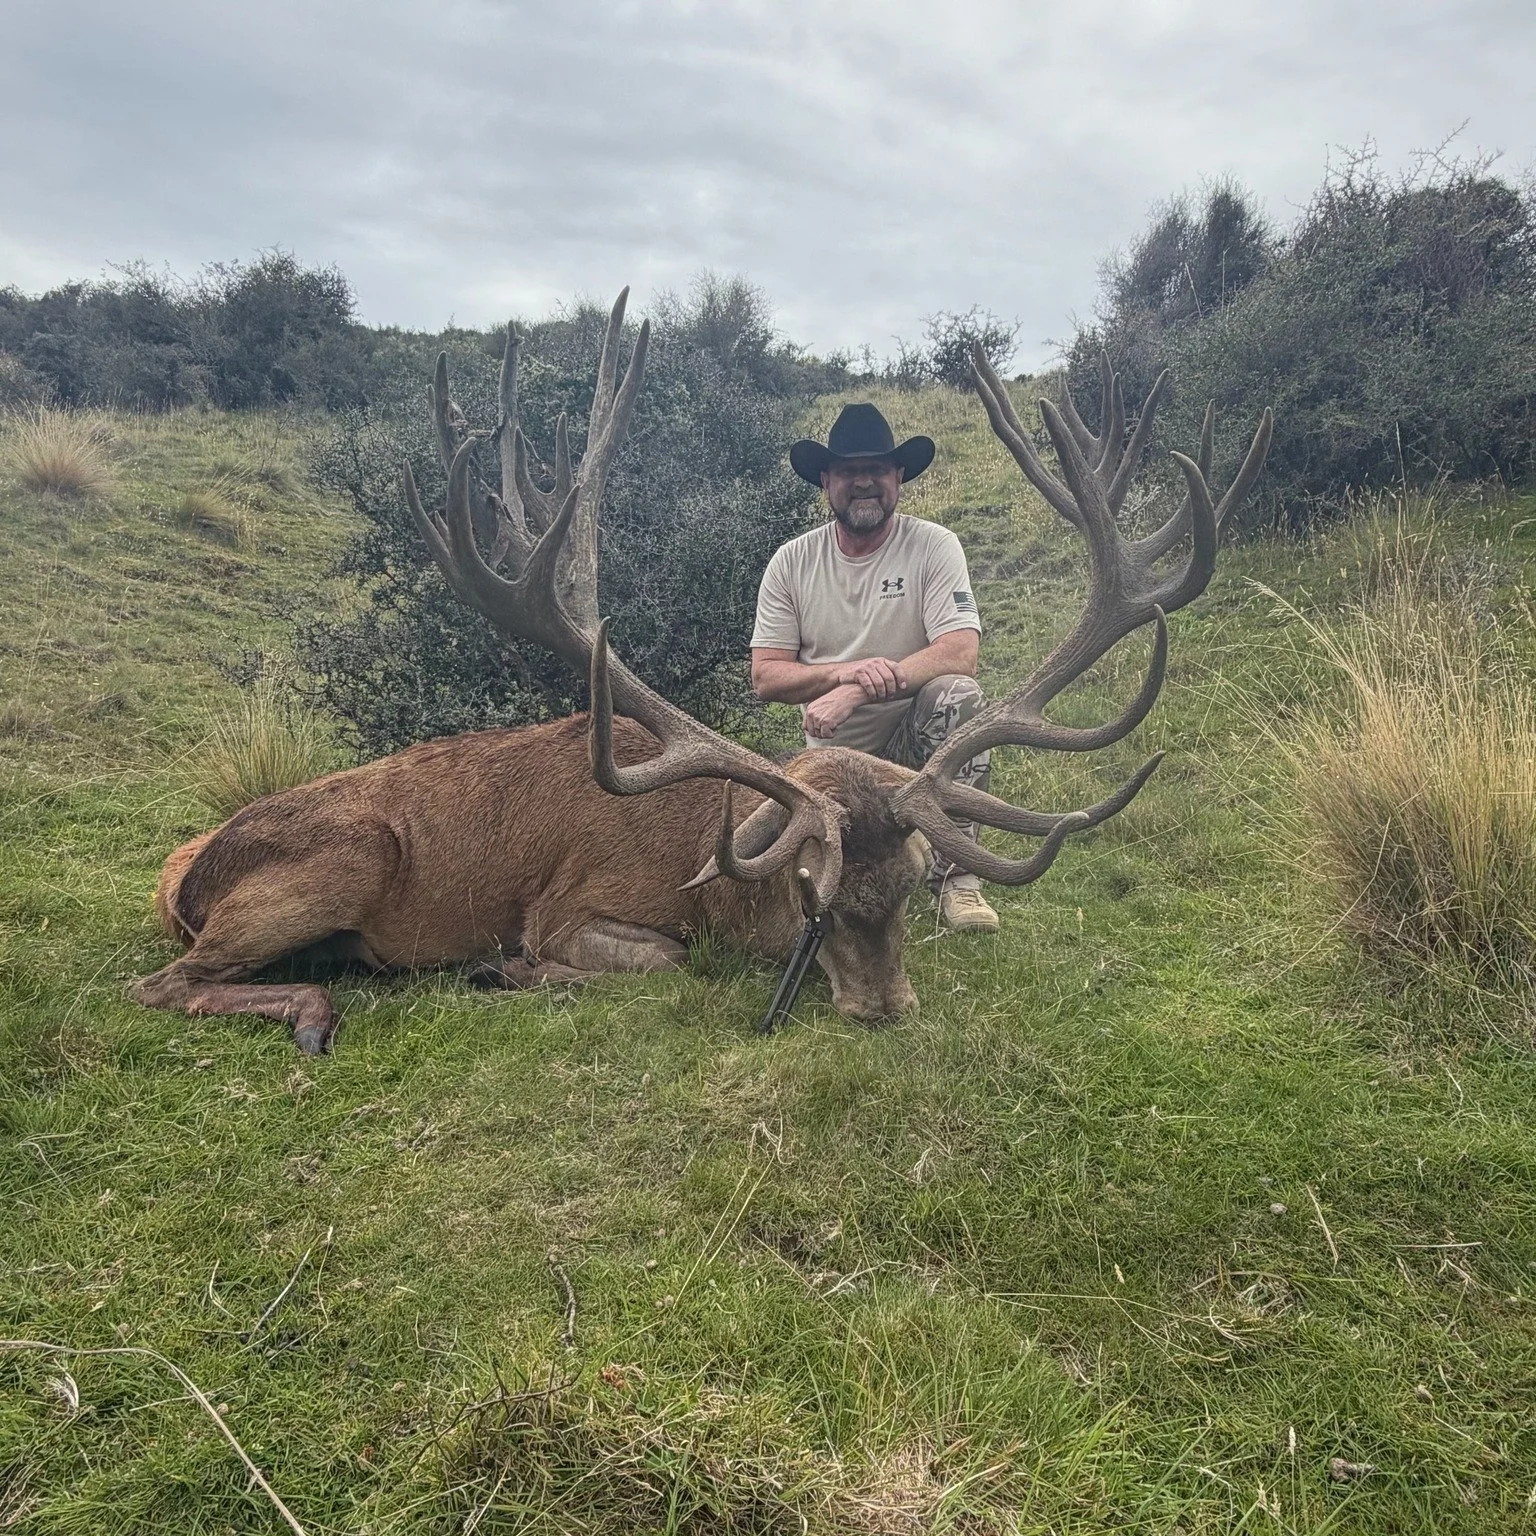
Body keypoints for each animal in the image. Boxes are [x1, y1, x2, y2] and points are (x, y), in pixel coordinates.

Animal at [128, 289, 1272, 1053]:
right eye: (810, 889)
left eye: (907, 883)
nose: (883, 1008)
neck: (713, 868)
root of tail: (185, 874)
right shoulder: (572, 906)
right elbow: (652, 959)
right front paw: (509, 967)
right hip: (342, 855)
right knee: (158, 983)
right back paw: (317, 1011)